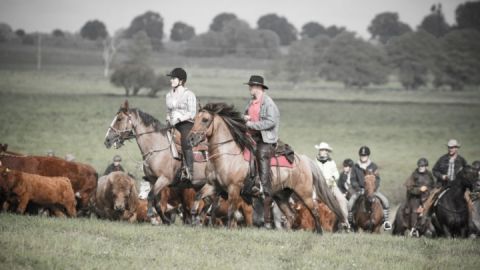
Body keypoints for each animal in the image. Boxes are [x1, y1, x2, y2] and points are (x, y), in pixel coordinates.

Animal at [188, 102, 344, 233]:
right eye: (195, 118)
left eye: (205, 119)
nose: (191, 139)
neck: (227, 155)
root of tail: (304, 160)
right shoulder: (213, 185)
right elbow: (198, 196)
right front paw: (195, 218)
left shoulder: (234, 188)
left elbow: (231, 211)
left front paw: (228, 228)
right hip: (281, 196)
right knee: (291, 215)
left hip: (304, 193)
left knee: (314, 211)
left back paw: (319, 232)